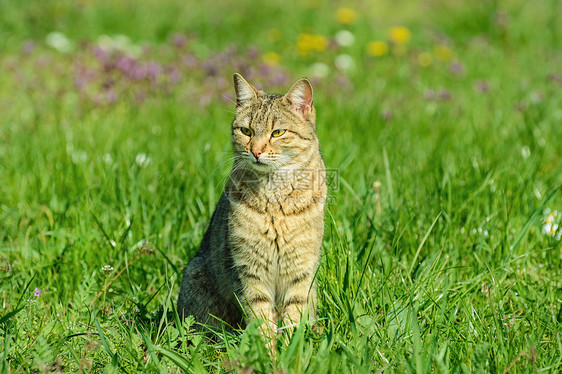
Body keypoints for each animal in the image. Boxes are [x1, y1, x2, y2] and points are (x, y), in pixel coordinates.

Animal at [175, 74, 324, 348]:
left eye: (278, 132)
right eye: (246, 131)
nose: (255, 151)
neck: (274, 195)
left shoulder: (301, 271)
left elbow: (294, 315)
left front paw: (291, 348)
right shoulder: (250, 271)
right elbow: (261, 317)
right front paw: (268, 351)